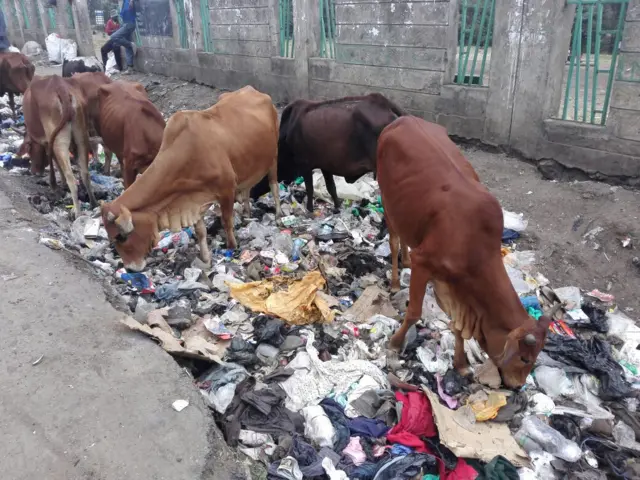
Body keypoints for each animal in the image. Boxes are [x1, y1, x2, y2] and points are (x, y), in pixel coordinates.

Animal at [22, 76, 96, 217]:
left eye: (30, 151)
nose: (33, 171)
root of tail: (62, 89)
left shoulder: (47, 140)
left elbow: (52, 160)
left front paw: (55, 185)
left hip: (59, 141)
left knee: (71, 177)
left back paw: (77, 212)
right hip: (81, 136)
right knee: (85, 173)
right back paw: (93, 203)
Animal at [99, 85, 280, 272]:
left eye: (121, 237)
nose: (129, 269)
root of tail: (252, 90)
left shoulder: (227, 189)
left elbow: (227, 221)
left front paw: (232, 246)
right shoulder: (193, 200)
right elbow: (201, 232)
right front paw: (206, 259)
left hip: (273, 157)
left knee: (274, 186)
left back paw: (279, 215)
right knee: (247, 190)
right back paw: (247, 213)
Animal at [380, 116, 552, 390]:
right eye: (524, 358)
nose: (517, 386)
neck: (475, 248)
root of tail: (404, 119)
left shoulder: (454, 288)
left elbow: (458, 328)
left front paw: (461, 364)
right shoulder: (424, 264)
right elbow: (414, 312)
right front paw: (396, 343)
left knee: (405, 241)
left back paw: (404, 260)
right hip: (387, 201)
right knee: (394, 240)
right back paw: (396, 281)